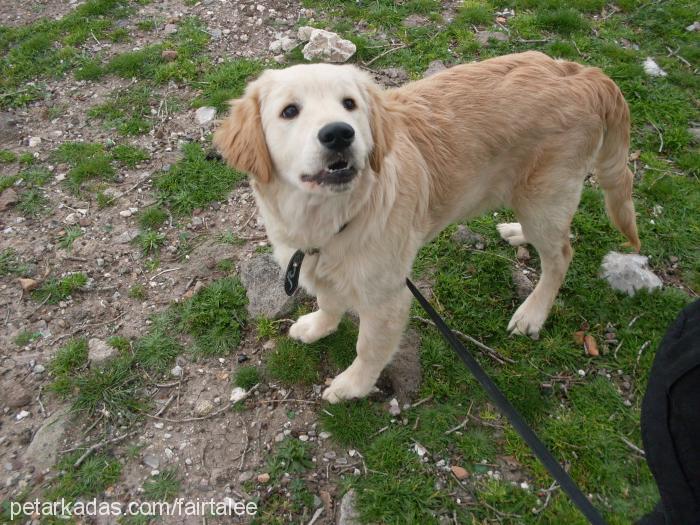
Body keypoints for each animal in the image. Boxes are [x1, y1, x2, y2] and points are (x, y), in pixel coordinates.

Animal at [213, 51, 640, 404]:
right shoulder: (319, 265)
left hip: (546, 196)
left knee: (561, 256)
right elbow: (329, 301)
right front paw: (318, 327)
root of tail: (583, 74)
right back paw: (517, 232)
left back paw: (532, 313)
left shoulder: (388, 298)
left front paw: (352, 386)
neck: (332, 218)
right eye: (289, 111)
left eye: (349, 104)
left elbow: (369, 348)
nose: (339, 133)